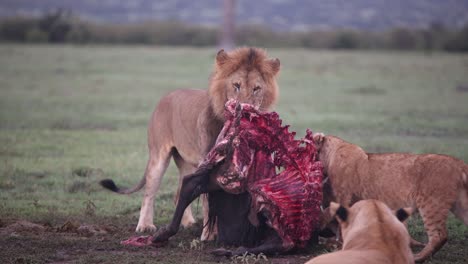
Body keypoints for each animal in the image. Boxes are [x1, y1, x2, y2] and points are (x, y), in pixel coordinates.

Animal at [100, 47, 280, 239]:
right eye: (236, 85)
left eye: (256, 88)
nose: (245, 109)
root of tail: (167, 96)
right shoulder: (207, 161)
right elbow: (208, 202)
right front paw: (208, 236)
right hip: (158, 155)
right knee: (149, 192)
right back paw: (145, 226)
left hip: (186, 162)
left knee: (179, 192)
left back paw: (189, 223)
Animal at [312, 134, 466, 262]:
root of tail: (459, 163)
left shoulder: (343, 196)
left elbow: (331, 214)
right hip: (461, 205)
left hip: (431, 204)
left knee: (439, 235)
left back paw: (418, 257)